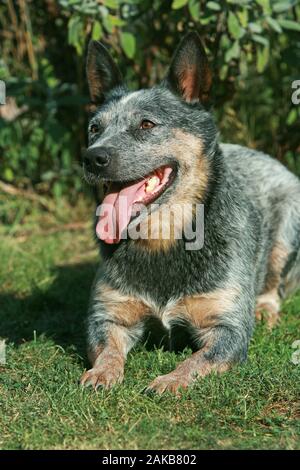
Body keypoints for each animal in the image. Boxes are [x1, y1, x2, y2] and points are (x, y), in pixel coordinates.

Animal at [80, 31, 300, 394]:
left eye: (146, 124)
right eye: (95, 128)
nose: (92, 158)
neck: (166, 240)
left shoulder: (228, 329)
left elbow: (199, 360)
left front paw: (170, 380)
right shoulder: (107, 313)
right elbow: (106, 346)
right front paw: (102, 371)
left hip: (287, 226)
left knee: (274, 283)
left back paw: (265, 308)